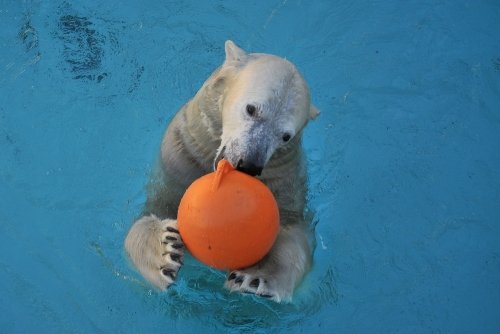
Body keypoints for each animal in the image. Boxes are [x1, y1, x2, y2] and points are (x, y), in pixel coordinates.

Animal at [124, 39, 316, 302]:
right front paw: (165, 253)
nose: (249, 164)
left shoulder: (285, 180)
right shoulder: (181, 158)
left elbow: (294, 232)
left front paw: (255, 278)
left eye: (286, 136)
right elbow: (153, 211)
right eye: (251, 109)